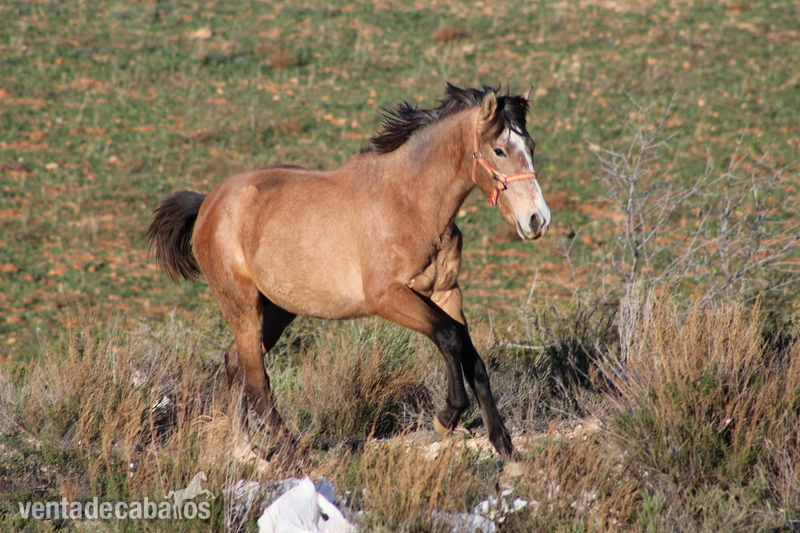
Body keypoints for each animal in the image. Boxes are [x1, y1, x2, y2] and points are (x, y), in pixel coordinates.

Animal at [146, 83, 550, 457]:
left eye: (531, 146)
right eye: (499, 150)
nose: (537, 219)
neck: (411, 202)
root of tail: (209, 202)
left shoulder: (447, 292)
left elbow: (472, 358)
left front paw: (505, 446)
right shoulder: (388, 297)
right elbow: (449, 338)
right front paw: (447, 416)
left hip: (277, 310)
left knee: (235, 363)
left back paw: (243, 450)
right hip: (242, 304)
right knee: (257, 379)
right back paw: (288, 449)